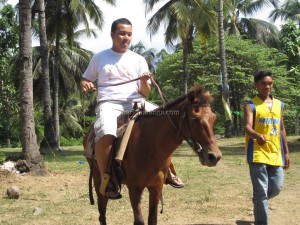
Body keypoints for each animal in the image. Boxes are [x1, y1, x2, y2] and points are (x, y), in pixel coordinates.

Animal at [83, 85, 221, 225]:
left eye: (213, 118)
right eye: (195, 119)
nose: (214, 157)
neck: (150, 146)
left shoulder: (156, 187)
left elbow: (152, 218)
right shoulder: (134, 188)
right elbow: (139, 221)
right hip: (99, 180)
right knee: (102, 213)